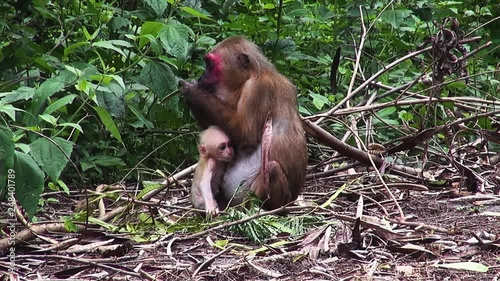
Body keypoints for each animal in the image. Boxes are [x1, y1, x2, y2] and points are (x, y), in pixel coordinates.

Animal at [178, 36, 306, 209]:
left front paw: (193, 92)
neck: (252, 75)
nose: (201, 78)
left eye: (210, 65)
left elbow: (246, 135)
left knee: (272, 169)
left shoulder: (258, 90)